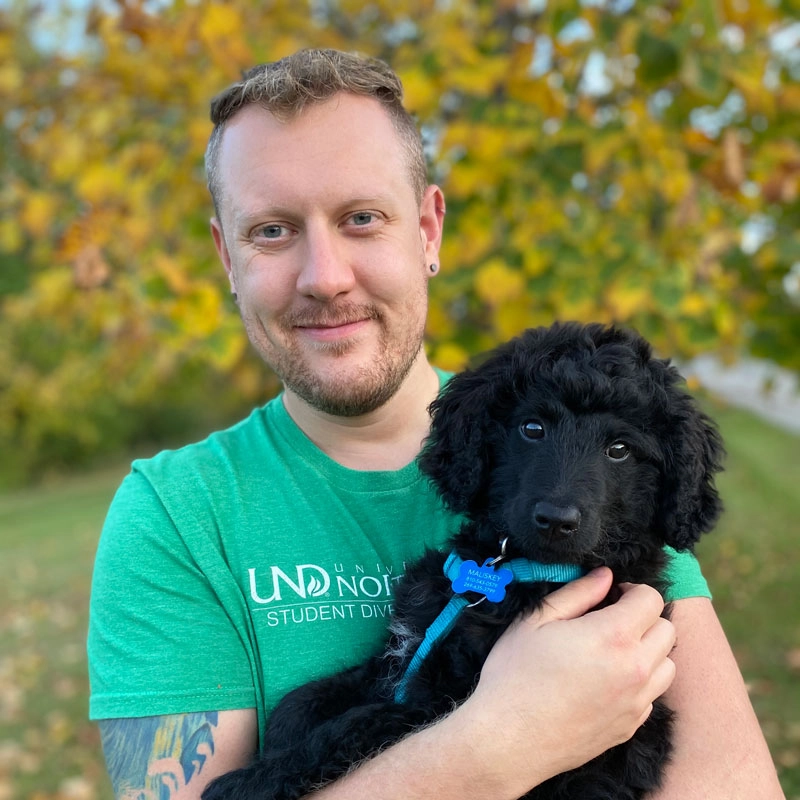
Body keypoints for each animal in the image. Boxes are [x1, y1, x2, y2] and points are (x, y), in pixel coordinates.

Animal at [205, 322, 724, 800]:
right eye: (532, 429)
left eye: (620, 450)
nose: (556, 520)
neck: (512, 571)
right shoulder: (404, 653)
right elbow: (308, 698)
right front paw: (279, 737)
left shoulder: (436, 704)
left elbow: (353, 728)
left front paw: (250, 782)